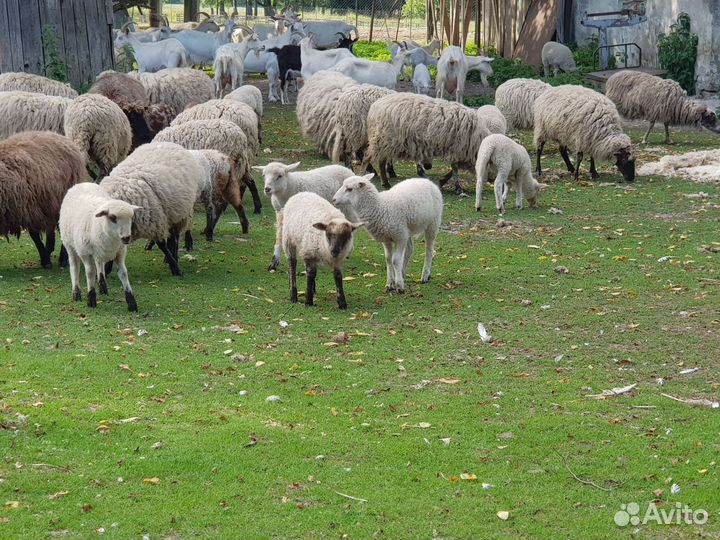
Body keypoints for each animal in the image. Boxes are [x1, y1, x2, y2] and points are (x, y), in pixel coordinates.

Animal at [0, 131, 86, 269]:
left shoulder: (31, 208)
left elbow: (35, 236)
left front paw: (46, 260)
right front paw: (46, 257)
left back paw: (63, 259)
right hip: (49, 203)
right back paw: (50, 249)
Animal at [100, 142, 202, 276]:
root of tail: (169, 143)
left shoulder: (155, 221)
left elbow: (162, 245)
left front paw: (176, 269)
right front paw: (107, 268)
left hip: (180, 214)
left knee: (174, 238)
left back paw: (174, 257)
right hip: (170, 214)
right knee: (171, 237)